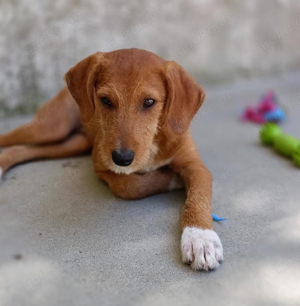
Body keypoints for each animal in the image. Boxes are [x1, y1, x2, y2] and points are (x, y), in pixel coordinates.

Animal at [0, 47, 223, 270]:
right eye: (105, 100)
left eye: (149, 102)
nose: (122, 158)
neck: (153, 142)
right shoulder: (100, 166)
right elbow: (128, 186)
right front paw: (171, 180)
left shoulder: (195, 165)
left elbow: (198, 197)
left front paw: (200, 238)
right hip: (50, 128)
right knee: (9, 140)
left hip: (72, 143)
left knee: (20, 150)